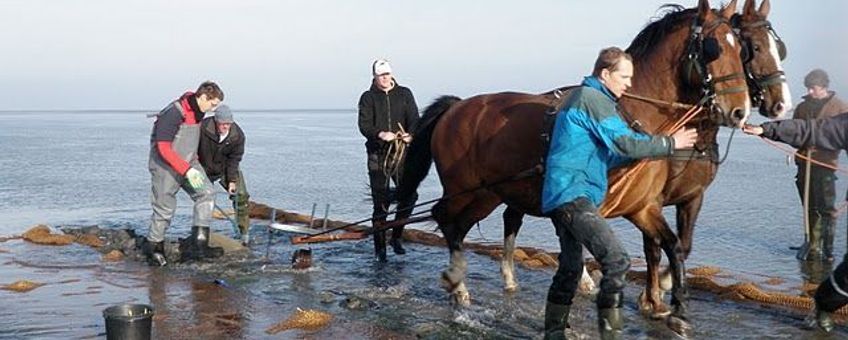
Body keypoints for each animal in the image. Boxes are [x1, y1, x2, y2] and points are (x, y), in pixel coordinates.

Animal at [398, 0, 748, 336]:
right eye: (714, 47)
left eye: (741, 48)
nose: (740, 111)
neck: (630, 112)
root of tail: (456, 107)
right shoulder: (590, 209)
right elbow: (581, 259)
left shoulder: (642, 207)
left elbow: (673, 247)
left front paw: (677, 311)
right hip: (466, 190)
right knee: (446, 219)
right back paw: (457, 283)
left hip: (490, 192)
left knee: (463, 223)